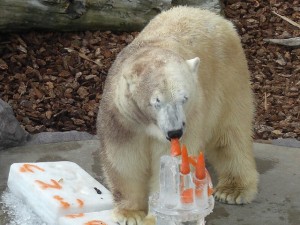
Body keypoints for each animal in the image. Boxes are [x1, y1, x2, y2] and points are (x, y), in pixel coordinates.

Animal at [96, 6, 258, 224]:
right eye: (156, 102)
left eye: (184, 98)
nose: (175, 132)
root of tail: (209, 14)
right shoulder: (121, 120)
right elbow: (124, 161)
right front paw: (130, 214)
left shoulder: (191, 119)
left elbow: (171, 166)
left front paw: (156, 216)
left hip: (229, 77)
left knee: (230, 133)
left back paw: (233, 190)